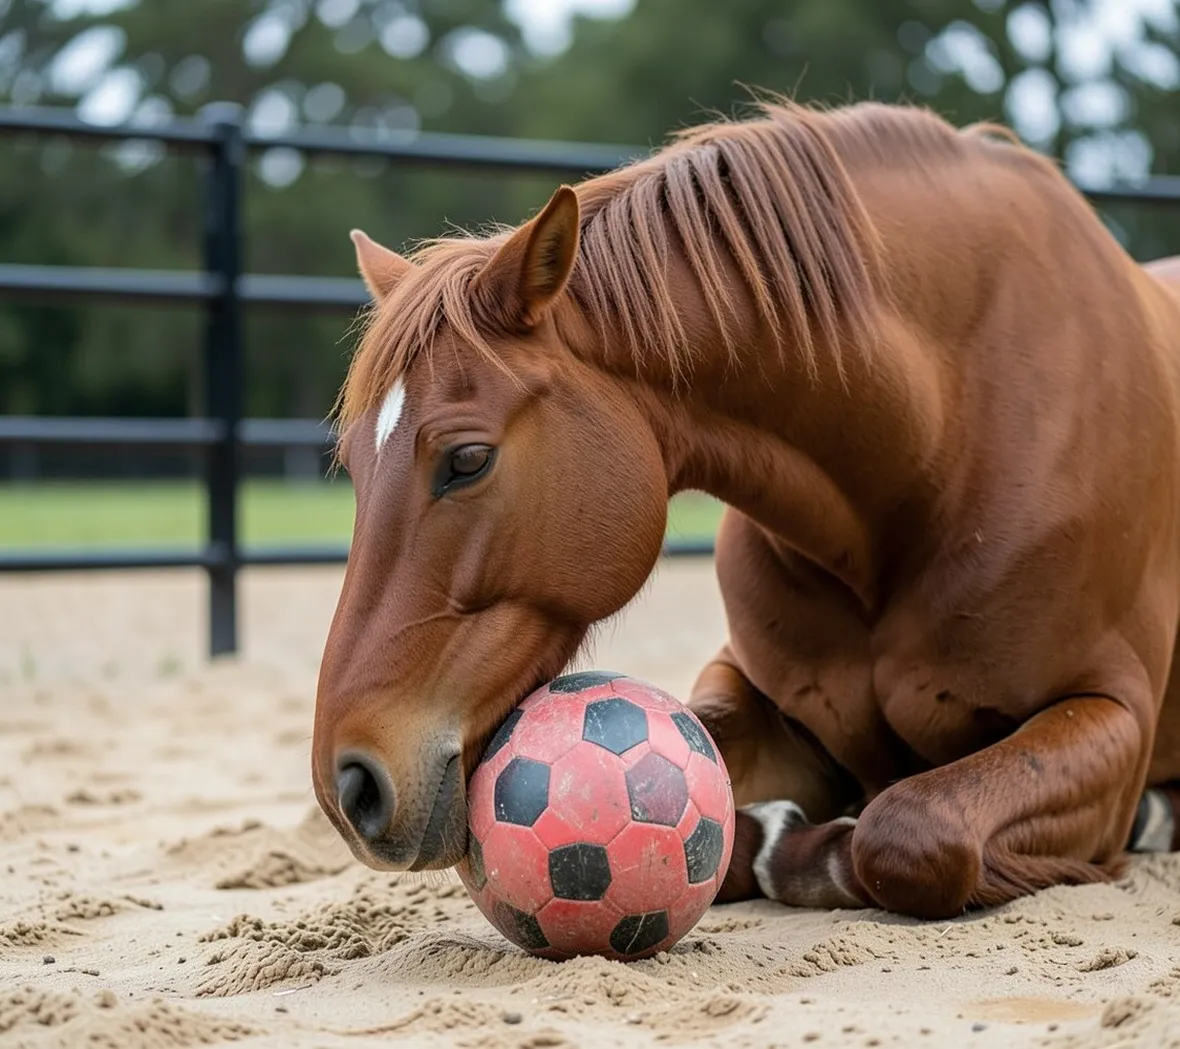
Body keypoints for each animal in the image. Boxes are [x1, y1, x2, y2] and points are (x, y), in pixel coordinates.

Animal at [311, 97, 1180, 921]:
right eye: (354, 464)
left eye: (467, 459)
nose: (348, 784)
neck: (949, 437)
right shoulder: (756, 687)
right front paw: (773, 832)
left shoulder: (1110, 712)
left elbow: (908, 831)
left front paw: (812, 841)